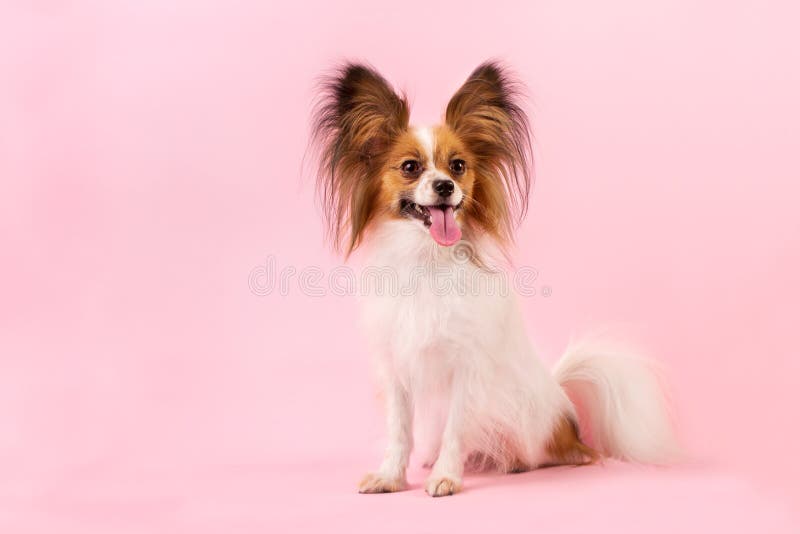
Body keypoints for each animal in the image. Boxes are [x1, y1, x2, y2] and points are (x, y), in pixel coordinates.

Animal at [310, 61, 680, 498]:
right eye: (410, 167)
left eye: (458, 166)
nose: (445, 186)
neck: (427, 260)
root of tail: (562, 411)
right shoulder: (396, 367)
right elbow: (399, 431)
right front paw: (390, 476)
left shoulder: (468, 368)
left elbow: (456, 430)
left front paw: (446, 477)